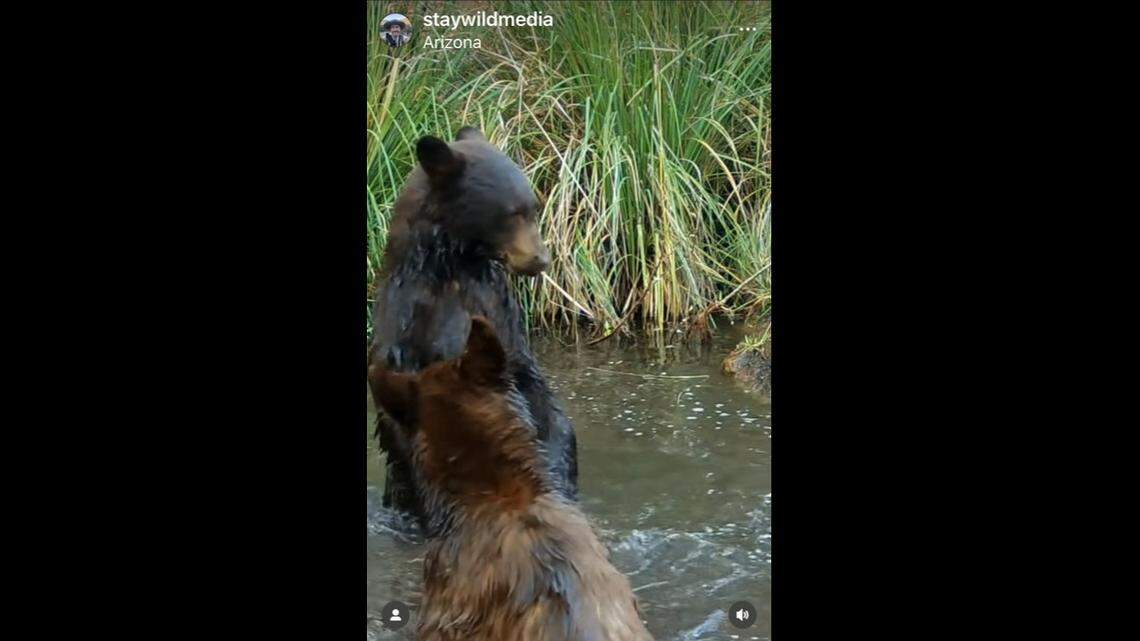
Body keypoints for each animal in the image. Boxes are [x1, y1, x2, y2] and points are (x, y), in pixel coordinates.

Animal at [369, 127, 578, 533]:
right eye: (512, 213)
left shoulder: (498, 310)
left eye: (534, 207)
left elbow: (532, 387)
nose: (541, 259)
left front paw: (559, 467)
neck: (453, 264)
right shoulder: (408, 321)